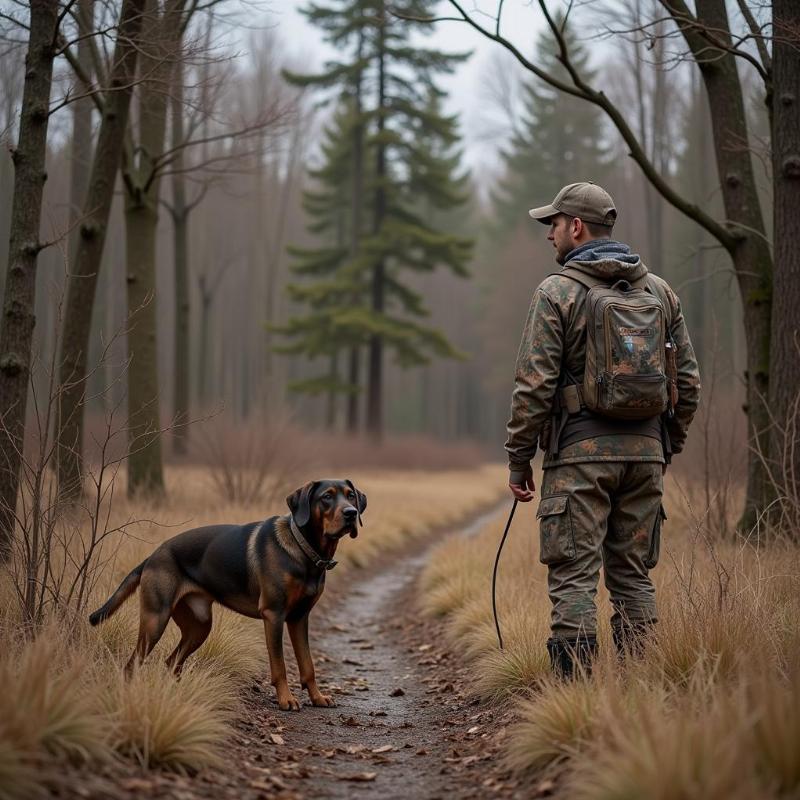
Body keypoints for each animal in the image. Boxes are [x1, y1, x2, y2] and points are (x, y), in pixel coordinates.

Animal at [91, 478, 368, 708]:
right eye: (327, 497)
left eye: (351, 496)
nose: (351, 513)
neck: (304, 550)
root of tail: (152, 556)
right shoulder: (274, 615)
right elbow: (279, 666)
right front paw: (286, 700)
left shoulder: (299, 618)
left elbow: (308, 665)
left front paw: (318, 697)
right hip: (154, 620)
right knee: (132, 664)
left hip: (199, 626)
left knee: (171, 662)